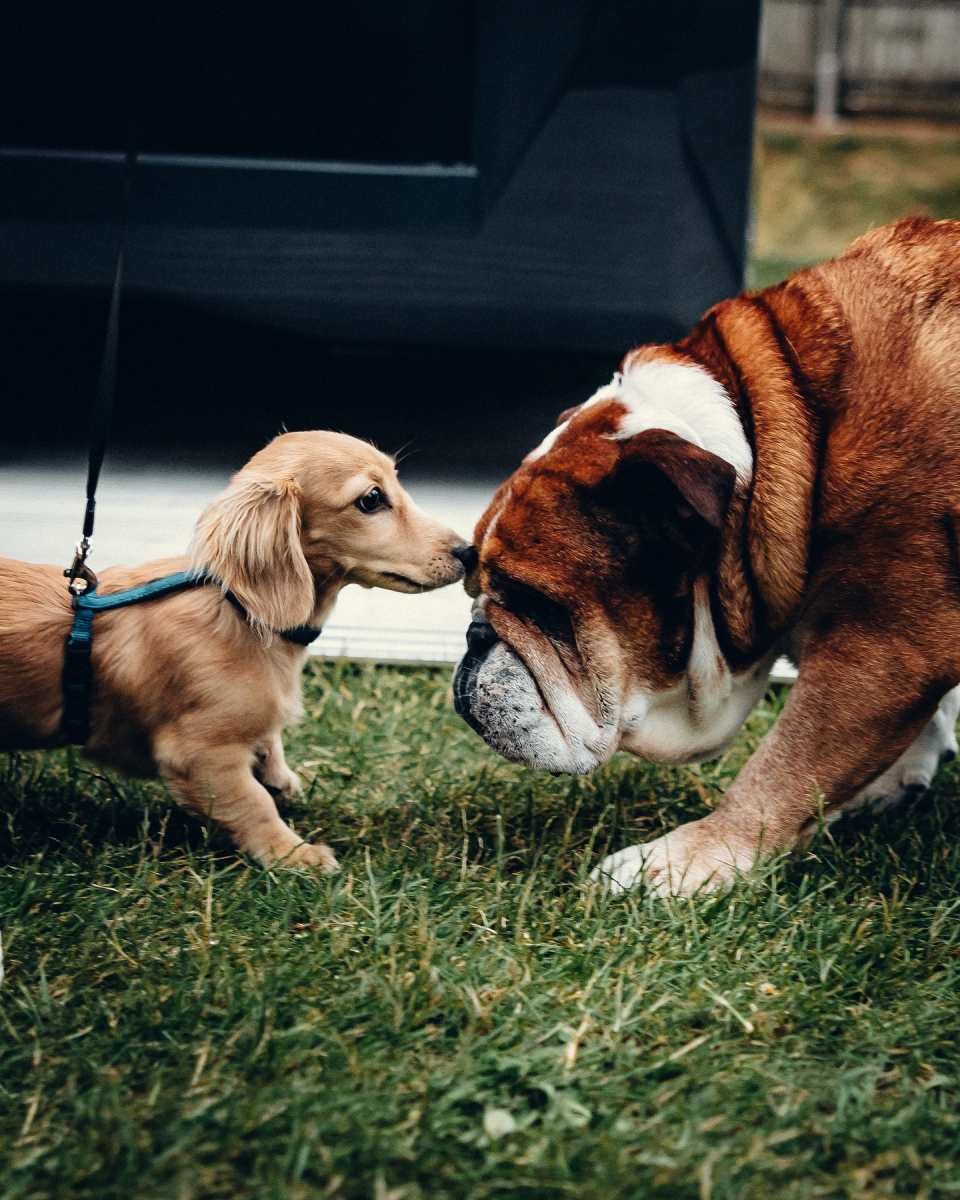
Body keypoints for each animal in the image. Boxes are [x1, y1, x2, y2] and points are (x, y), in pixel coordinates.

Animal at [0, 432, 465, 873]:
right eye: (371, 499)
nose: (467, 551)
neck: (240, 612)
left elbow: (268, 748)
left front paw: (280, 779)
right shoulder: (199, 754)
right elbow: (252, 803)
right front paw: (292, 854)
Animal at [453, 216, 960, 897]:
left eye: (541, 606)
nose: (475, 635)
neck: (784, 442)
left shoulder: (881, 650)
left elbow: (787, 764)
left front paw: (679, 861)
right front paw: (895, 779)